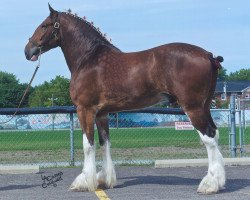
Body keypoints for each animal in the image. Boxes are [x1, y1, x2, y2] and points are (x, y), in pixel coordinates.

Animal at [24, 4, 226, 195]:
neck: (88, 58)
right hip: (204, 107)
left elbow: (88, 145)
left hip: (193, 108)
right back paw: (218, 181)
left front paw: (84, 182)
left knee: (208, 138)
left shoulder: (85, 110)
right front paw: (104, 179)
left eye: (44, 25)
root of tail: (208, 56)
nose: (27, 50)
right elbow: (104, 143)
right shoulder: (102, 114)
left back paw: (209, 185)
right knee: (215, 134)